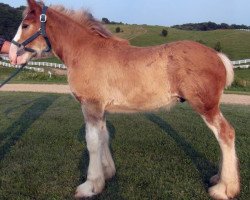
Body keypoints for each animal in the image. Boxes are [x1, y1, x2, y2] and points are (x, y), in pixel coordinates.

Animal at [9, 0, 240, 199]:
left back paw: (224, 188)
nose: (12, 54)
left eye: (25, 25)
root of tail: (218, 56)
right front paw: (106, 174)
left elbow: (92, 142)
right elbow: (104, 137)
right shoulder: (101, 109)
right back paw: (218, 179)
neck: (86, 51)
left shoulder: (90, 106)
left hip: (206, 106)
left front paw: (91, 185)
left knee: (225, 133)